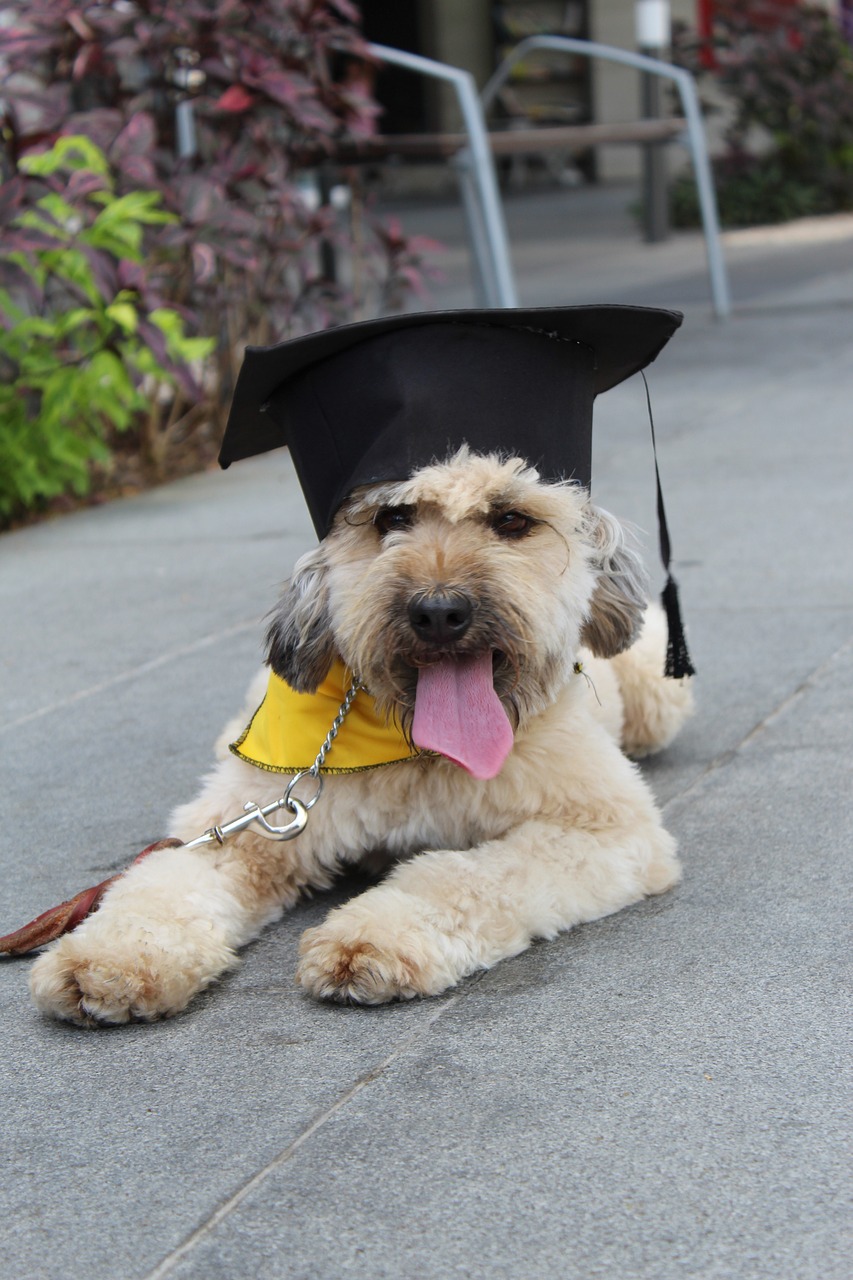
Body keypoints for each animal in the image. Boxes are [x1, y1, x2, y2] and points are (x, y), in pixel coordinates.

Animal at [28, 450, 691, 1029]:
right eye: (391, 519)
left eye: (510, 519)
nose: (439, 612)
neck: (418, 749)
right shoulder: (247, 828)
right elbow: (164, 879)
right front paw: (109, 959)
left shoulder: (604, 828)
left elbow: (466, 875)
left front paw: (373, 937)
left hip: (657, 692)